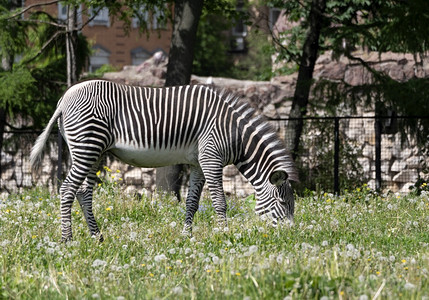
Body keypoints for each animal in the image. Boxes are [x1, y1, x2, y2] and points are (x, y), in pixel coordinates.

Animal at [30, 79, 298, 241]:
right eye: (283, 203)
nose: (290, 237)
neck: (235, 134)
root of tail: (64, 99)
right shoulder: (211, 158)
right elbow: (220, 202)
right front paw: (224, 235)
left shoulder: (198, 163)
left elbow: (192, 202)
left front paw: (187, 236)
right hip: (88, 146)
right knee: (67, 189)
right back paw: (67, 239)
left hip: (91, 152)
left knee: (83, 192)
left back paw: (97, 237)